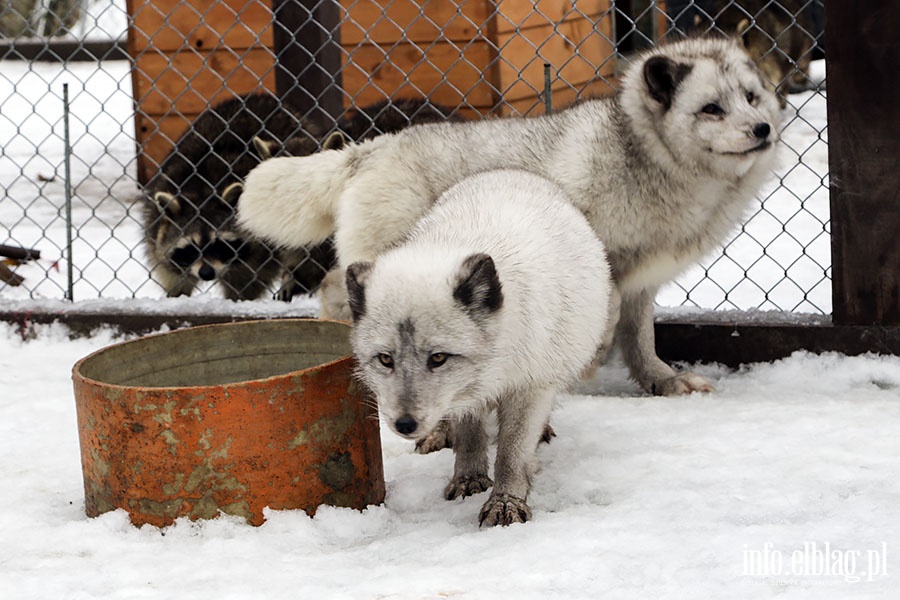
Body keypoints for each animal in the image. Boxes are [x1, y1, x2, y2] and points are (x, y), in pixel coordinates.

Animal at [142, 93, 318, 300]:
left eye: (220, 245)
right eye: (191, 248)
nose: (206, 273)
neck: (202, 190)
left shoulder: (259, 246)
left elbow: (250, 278)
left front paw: (239, 299)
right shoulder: (157, 218)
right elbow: (168, 268)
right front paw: (177, 294)